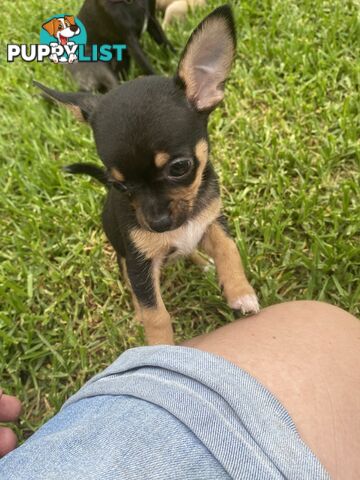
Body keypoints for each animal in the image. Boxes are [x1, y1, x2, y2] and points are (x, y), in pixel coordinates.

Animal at [34, 6, 258, 344]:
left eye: (179, 168)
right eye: (118, 185)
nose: (158, 224)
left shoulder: (212, 221)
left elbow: (228, 249)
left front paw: (240, 292)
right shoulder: (140, 266)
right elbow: (155, 312)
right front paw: (160, 344)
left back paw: (202, 262)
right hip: (125, 260)